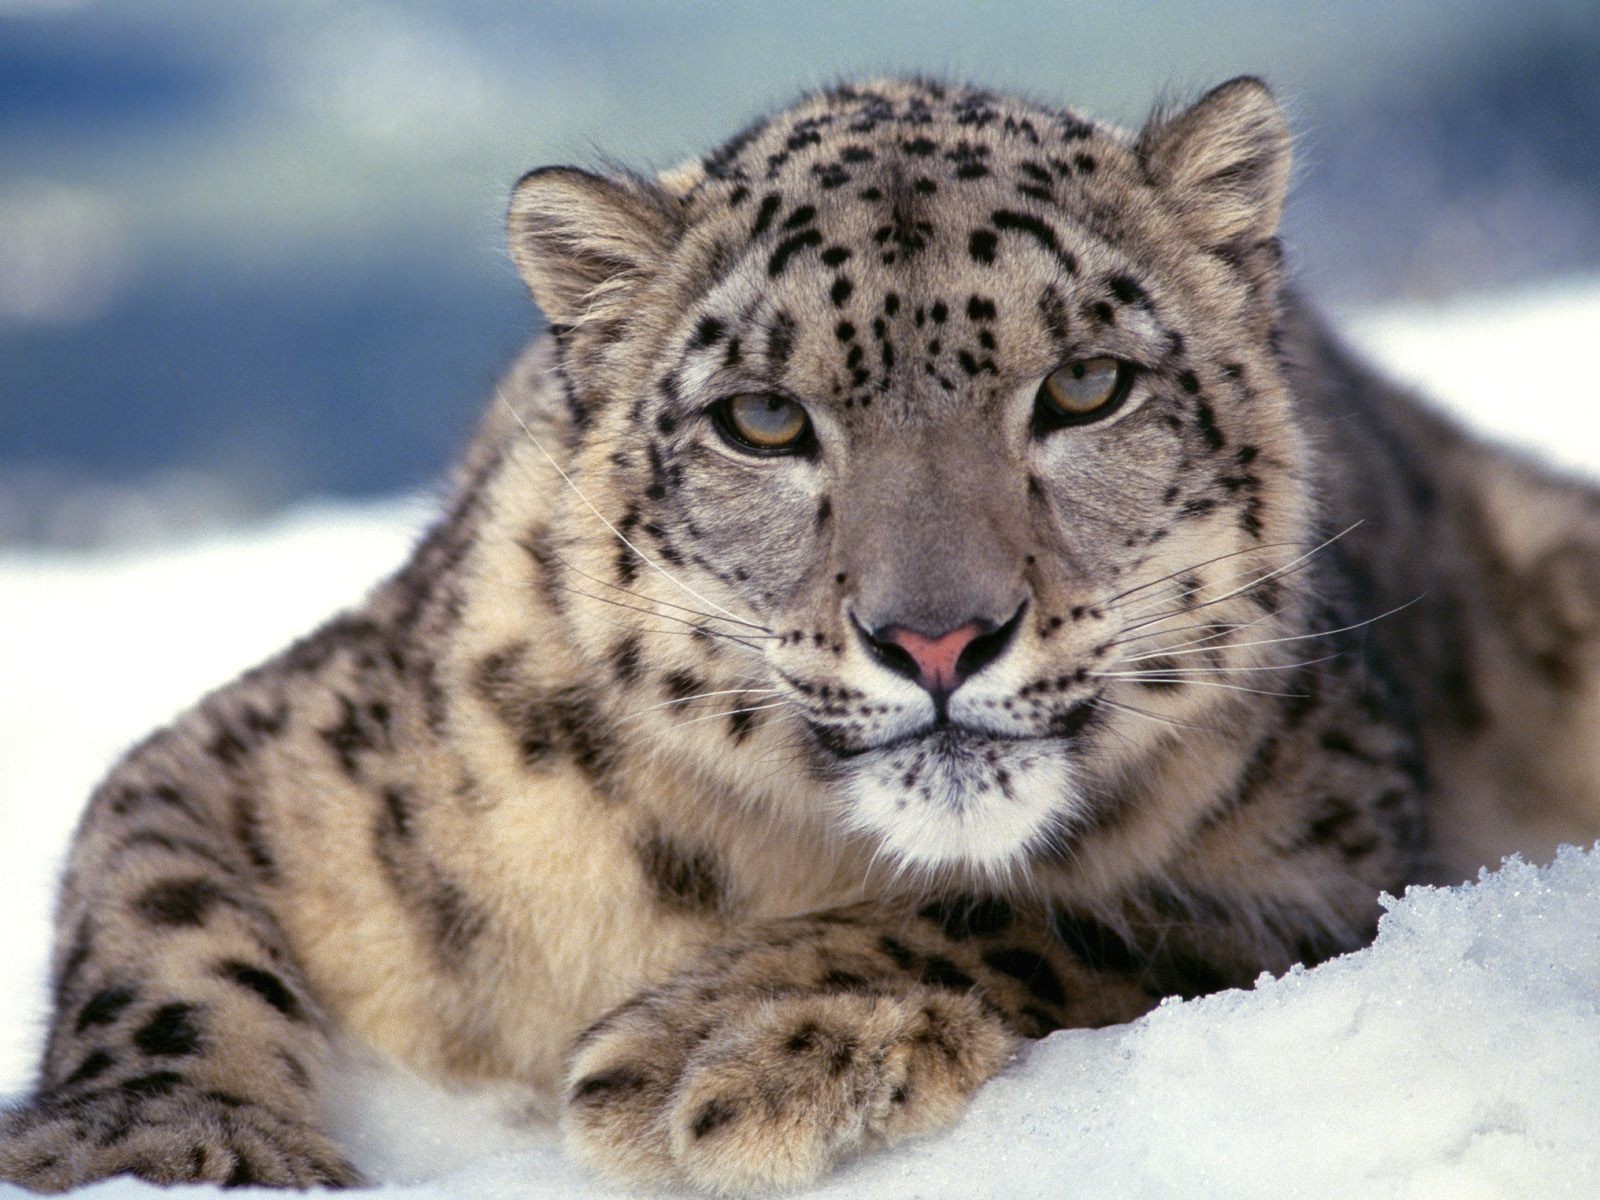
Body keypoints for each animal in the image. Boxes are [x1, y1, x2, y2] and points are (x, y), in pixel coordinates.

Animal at [5, 75, 1600, 1196]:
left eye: (1086, 386)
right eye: (763, 418)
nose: (939, 637)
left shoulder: (1337, 857)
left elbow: (1072, 909)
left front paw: (728, 1046)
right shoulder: (266, 756)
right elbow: (158, 916)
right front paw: (165, 1145)